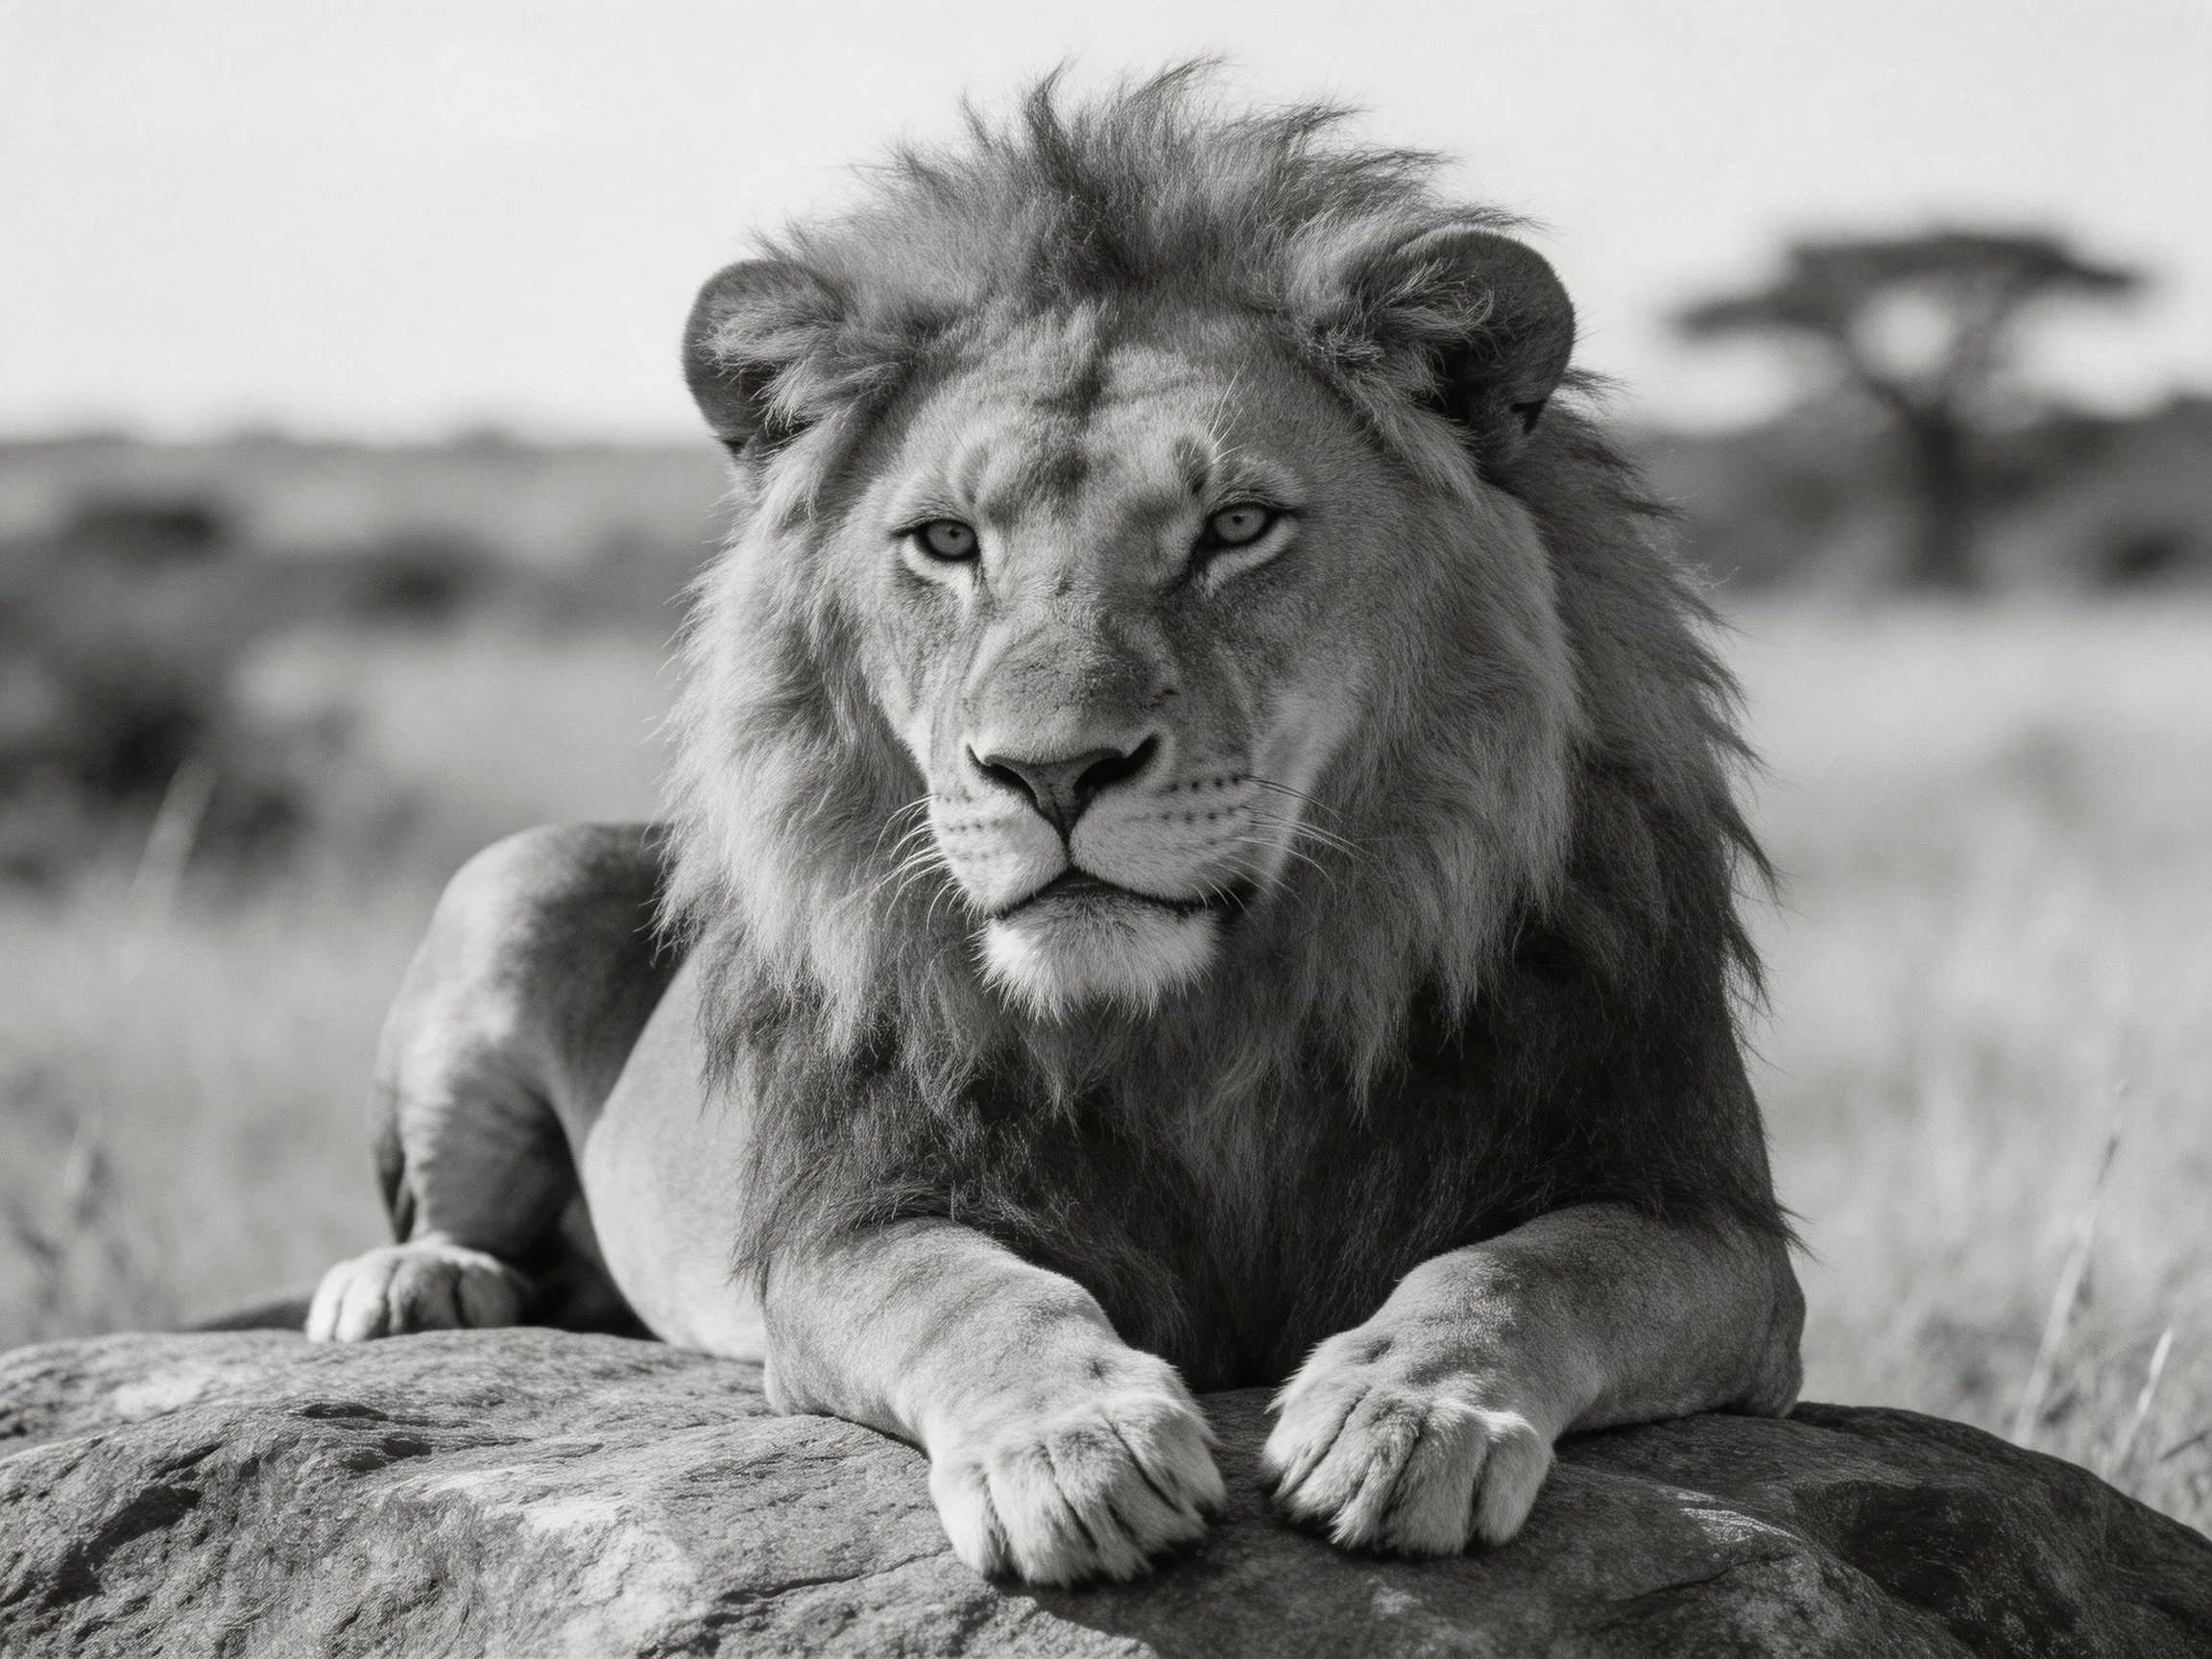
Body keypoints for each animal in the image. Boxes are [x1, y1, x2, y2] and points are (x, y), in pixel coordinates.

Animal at [306, 69, 1804, 1585]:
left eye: (1237, 526)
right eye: (947, 542)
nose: (1055, 772)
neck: (1211, 1022)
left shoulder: (1713, 1226)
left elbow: (1525, 1269)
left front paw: (1404, 1413)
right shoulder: (849, 1228)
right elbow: (968, 1296)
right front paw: (1077, 1450)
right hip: (515, 876)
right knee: (460, 1211)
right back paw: (414, 1281)